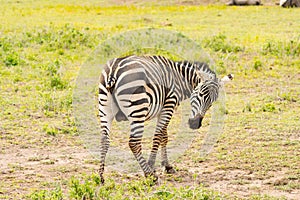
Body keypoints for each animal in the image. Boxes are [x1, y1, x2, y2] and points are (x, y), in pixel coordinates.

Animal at [98, 54, 232, 183]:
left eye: (212, 103)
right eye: (200, 94)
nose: (195, 124)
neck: (179, 79)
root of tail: (114, 70)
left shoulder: (163, 110)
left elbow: (164, 136)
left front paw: (167, 166)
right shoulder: (168, 106)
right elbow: (158, 136)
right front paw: (152, 166)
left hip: (105, 108)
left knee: (105, 140)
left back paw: (100, 176)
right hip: (138, 109)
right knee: (134, 143)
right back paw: (149, 175)